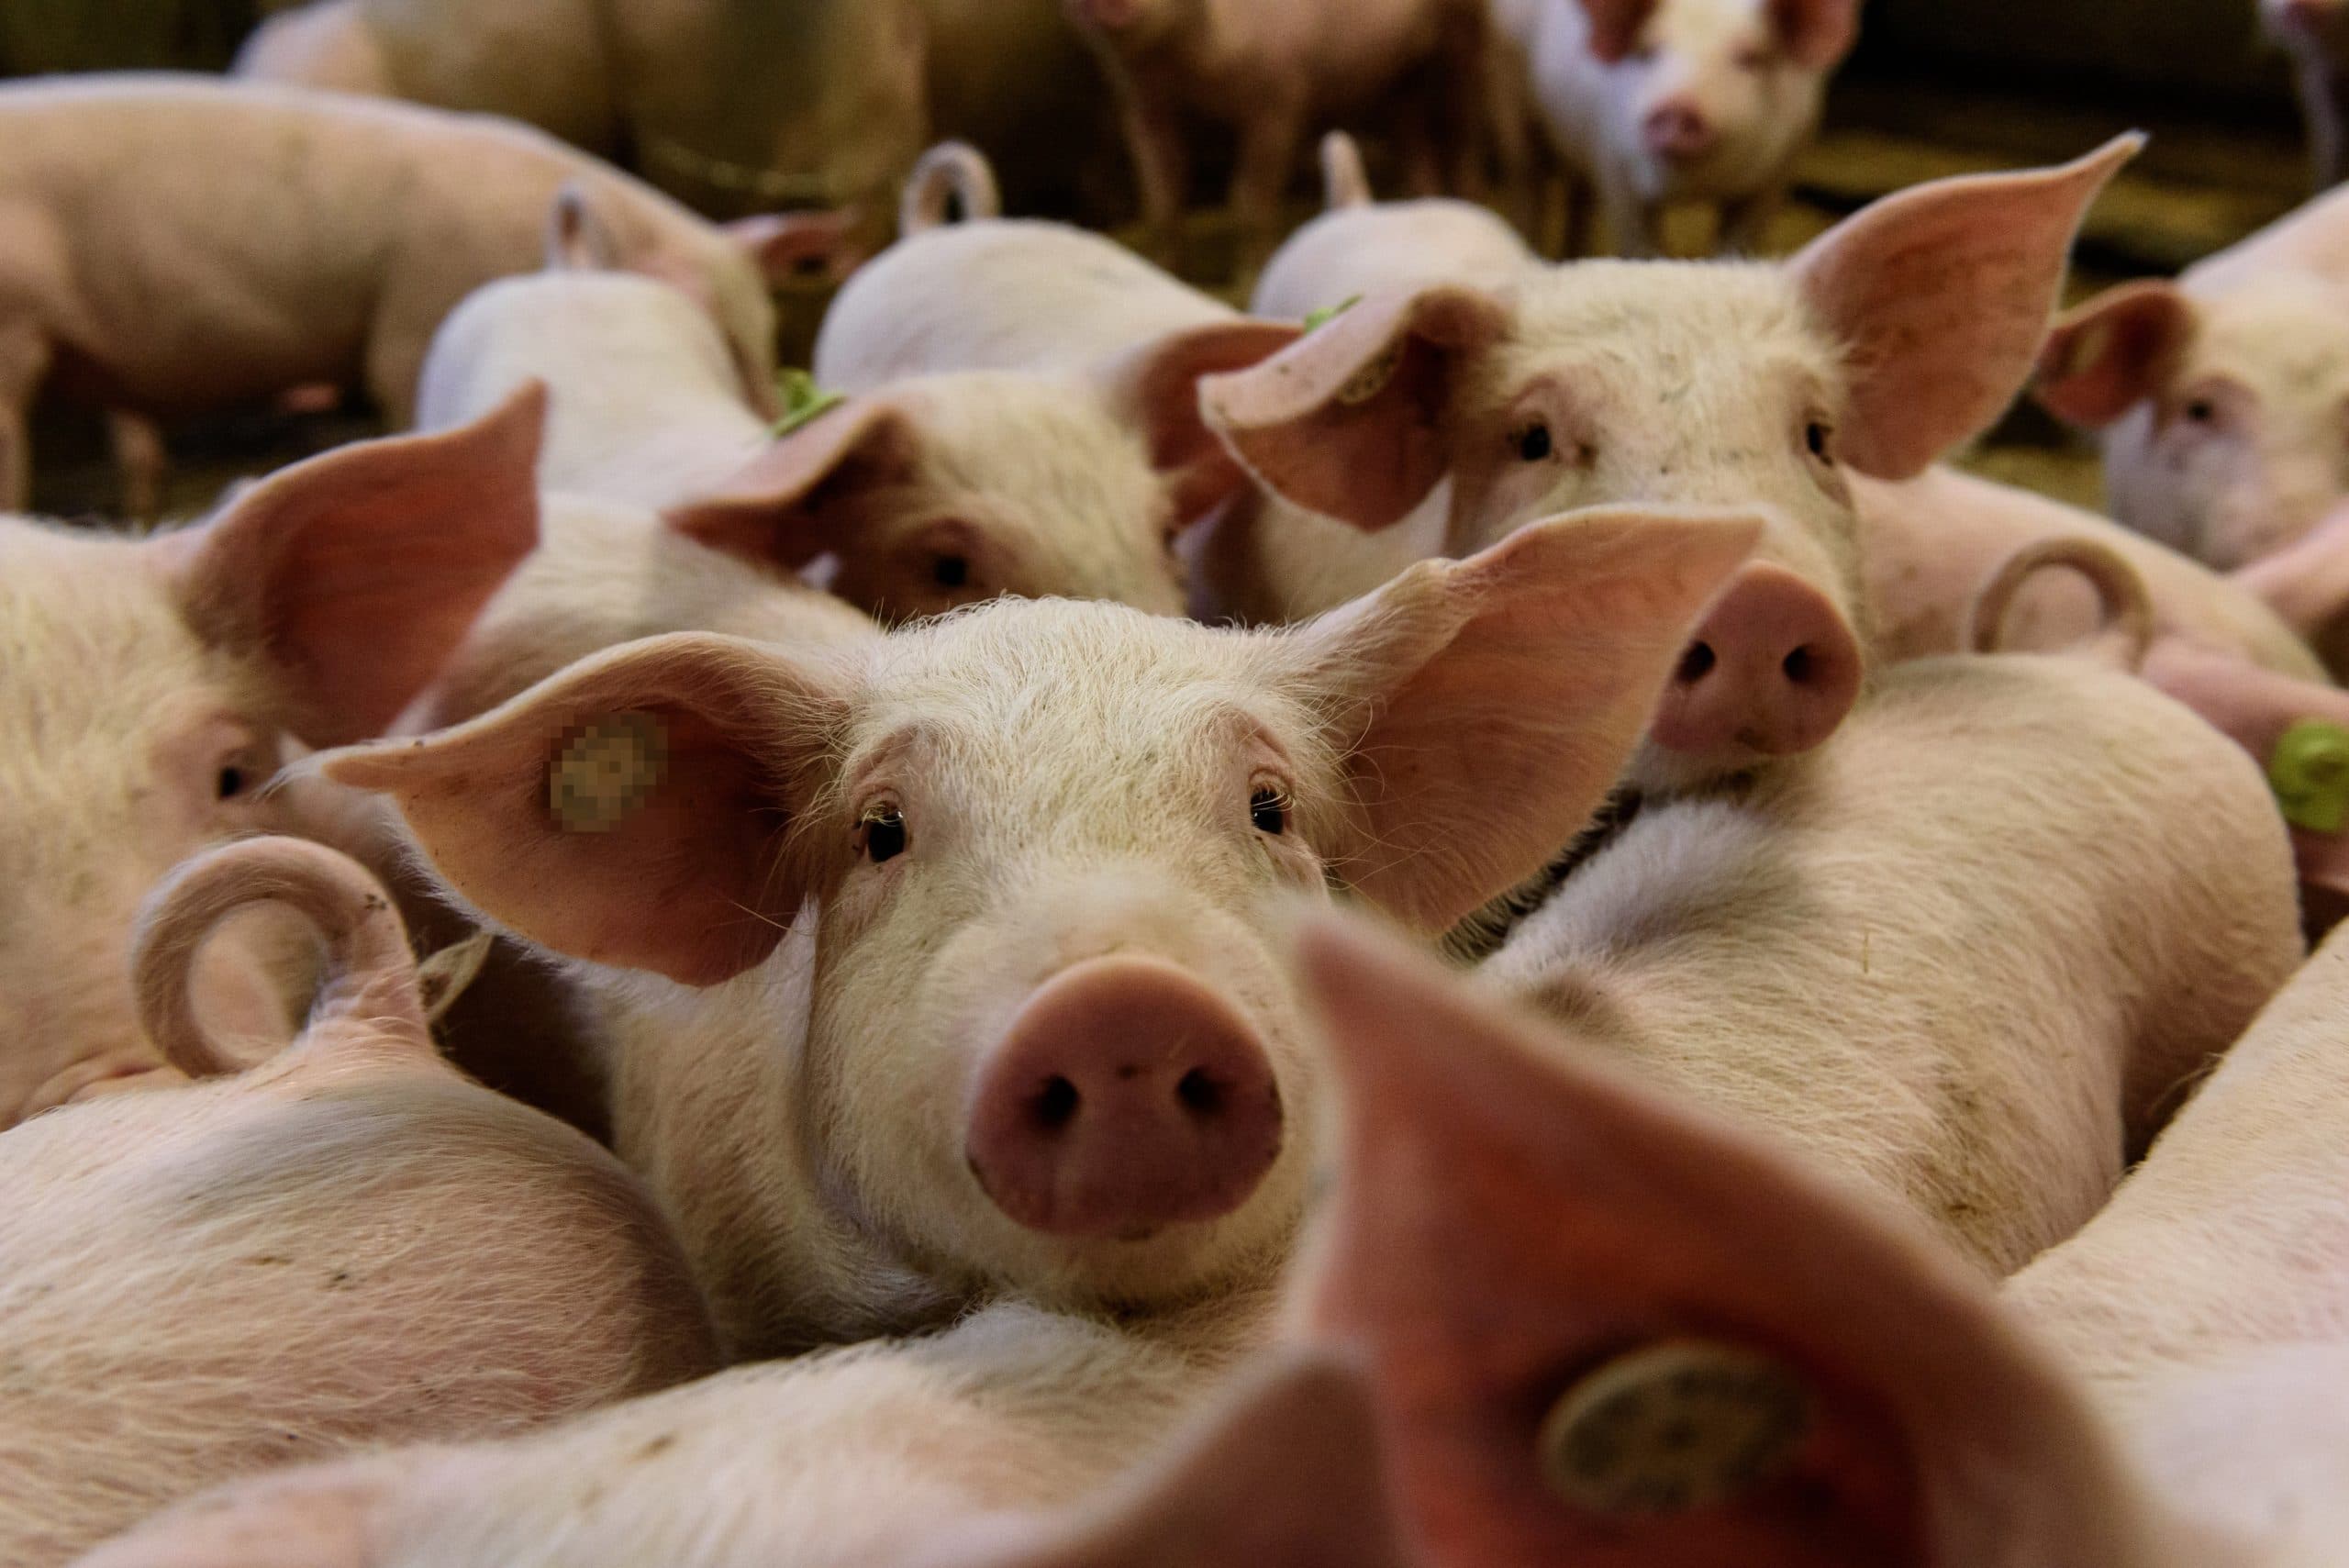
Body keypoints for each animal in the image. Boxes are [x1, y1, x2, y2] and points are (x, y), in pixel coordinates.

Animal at [1063, 0, 1495, 272]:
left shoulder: (1277, 99)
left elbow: (1249, 198)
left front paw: (1250, 275)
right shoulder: (1142, 105)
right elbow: (1162, 203)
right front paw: (1166, 271)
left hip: (1464, 35)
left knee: (1462, 131)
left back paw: (1469, 198)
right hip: (1397, 81)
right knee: (1415, 140)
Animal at [1494, 0, 1859, 258]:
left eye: (1747, 57)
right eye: (1649, 51)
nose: (1677, 106)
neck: (1693, 187)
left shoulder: (1776, 175)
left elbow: (1739, 241)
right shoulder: (1615, 166)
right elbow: (1641, 243)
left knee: (1579, 195)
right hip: (1509, 95)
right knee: (1528, 180)